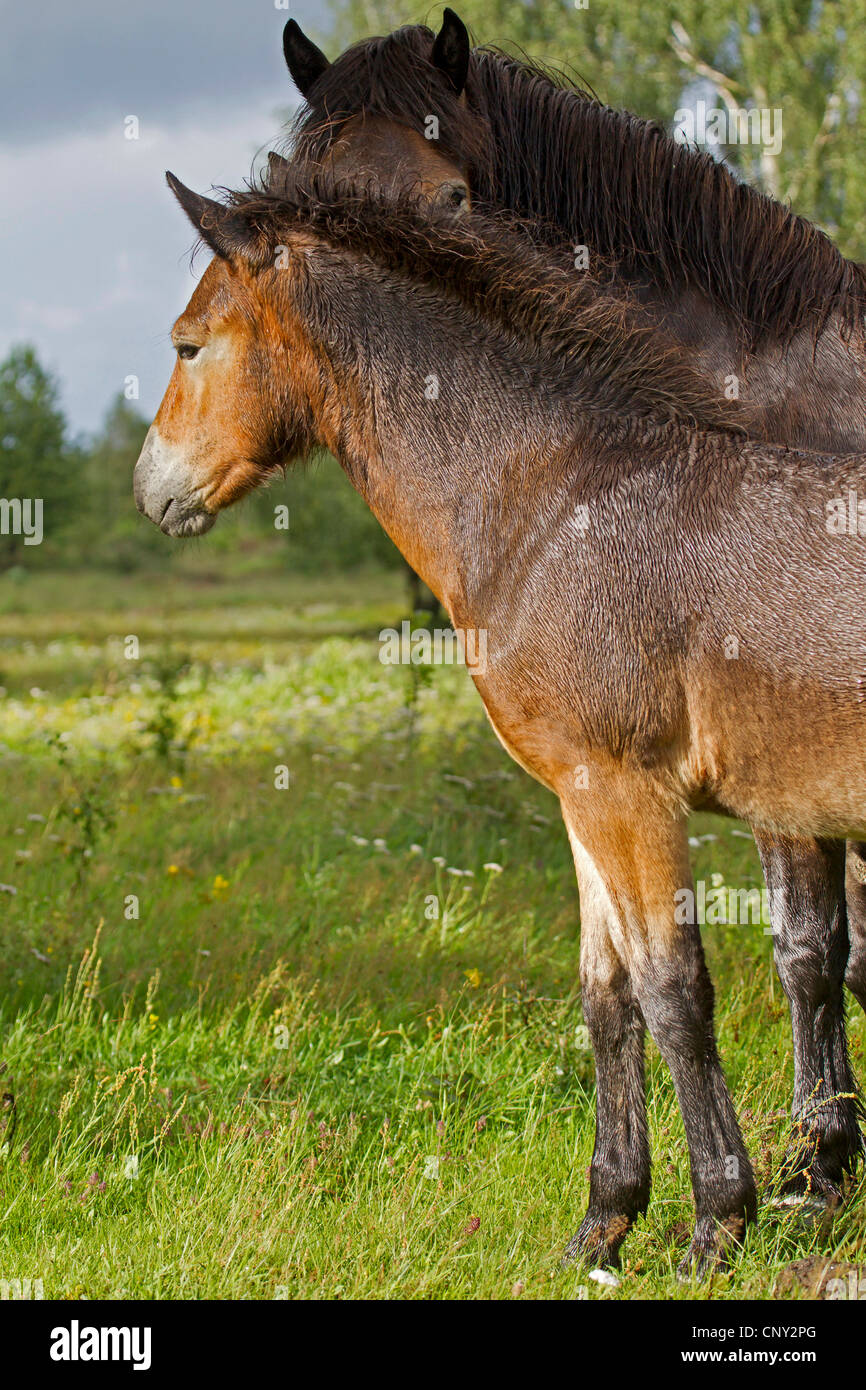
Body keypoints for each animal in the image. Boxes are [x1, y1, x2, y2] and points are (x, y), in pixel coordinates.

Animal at [135, 176, 866, 1278]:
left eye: (187, 345)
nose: (151, 489)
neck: (555, 503)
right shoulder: (580, 799)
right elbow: (607, 996)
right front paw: (603, 1222)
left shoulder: (627, 793)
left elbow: (675, 991)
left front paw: (714, 1225)